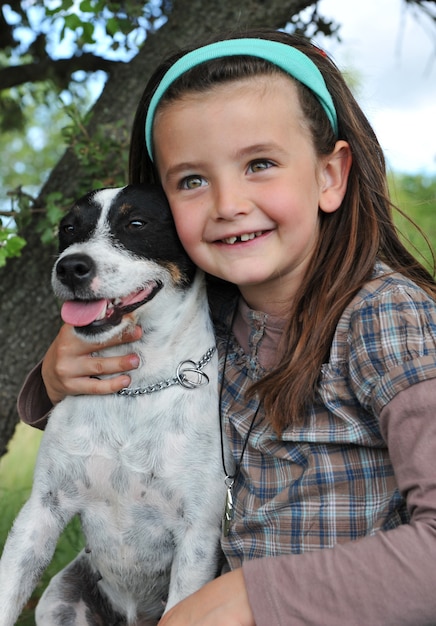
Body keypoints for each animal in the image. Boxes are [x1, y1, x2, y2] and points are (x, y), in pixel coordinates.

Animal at [0, 183, 232, 620]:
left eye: (136, 223)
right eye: (68, 227)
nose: (70, 267)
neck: (135, 389)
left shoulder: (197, 536)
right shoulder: (42, 508)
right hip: (59, 598)